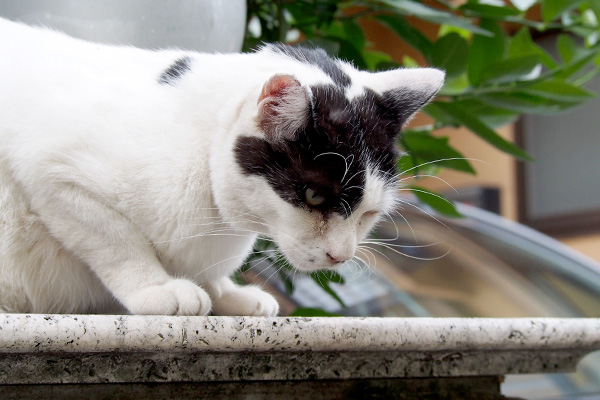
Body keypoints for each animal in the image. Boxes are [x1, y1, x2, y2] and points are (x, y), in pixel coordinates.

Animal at [0, 17, 440, 316]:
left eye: (370, 213)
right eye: (314, 195)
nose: (341, 257)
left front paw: (227, 294)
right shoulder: (54, 173)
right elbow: (117, 242)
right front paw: (157, 288)